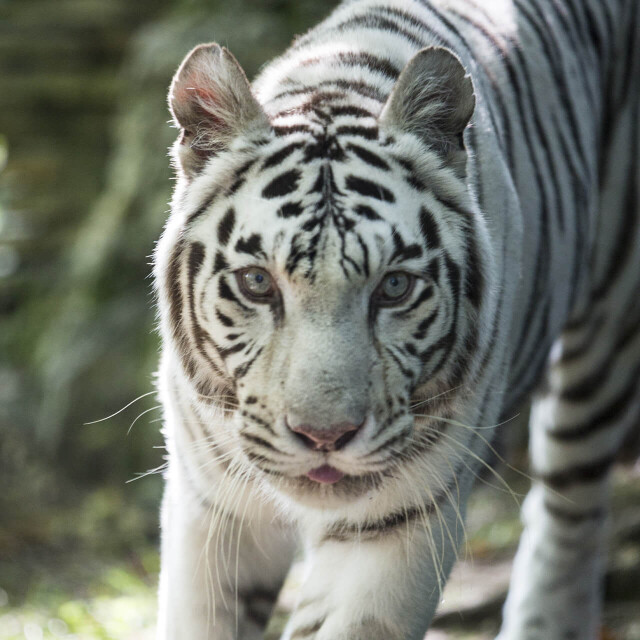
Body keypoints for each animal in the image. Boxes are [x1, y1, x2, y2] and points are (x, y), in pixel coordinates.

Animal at [151, 0, 640, 636]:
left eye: (394, 286)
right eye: (257, 283)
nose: (325, 436)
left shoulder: (398, 527)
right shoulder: (210, 509)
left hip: (605, 344)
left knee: (571, 513)